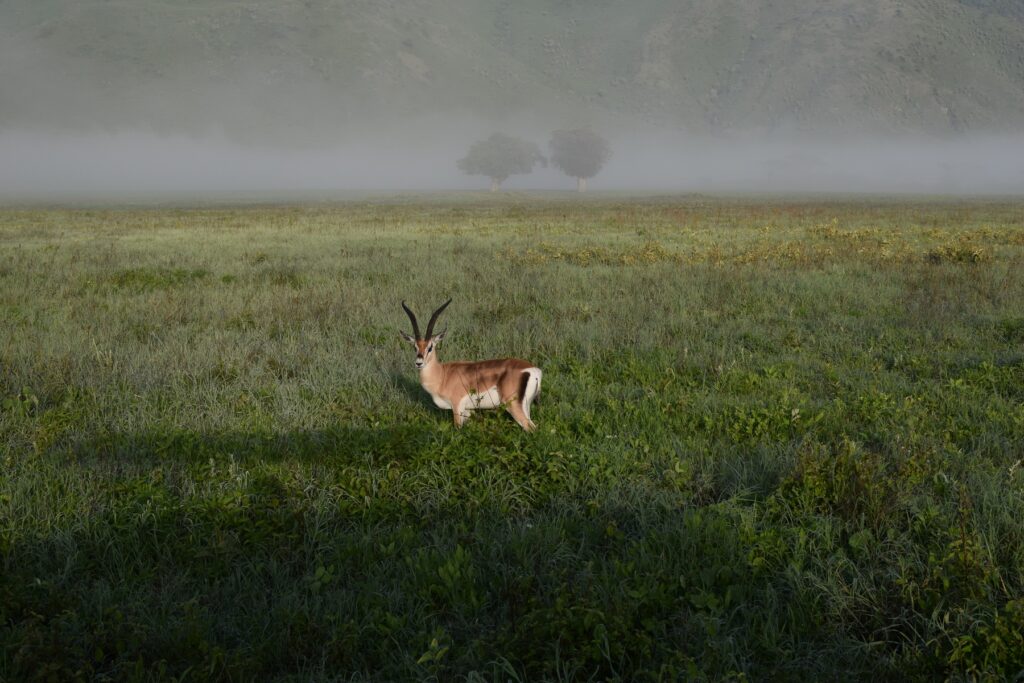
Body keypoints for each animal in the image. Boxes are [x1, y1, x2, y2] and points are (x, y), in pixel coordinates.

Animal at [400, 299, 543, 431]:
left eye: (430, 347)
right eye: (414, 347)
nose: (419, 363)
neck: (442, 375)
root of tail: (534, 370)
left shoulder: (457, 407)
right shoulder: (468, 411)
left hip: (513, 405)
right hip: (526, 406)